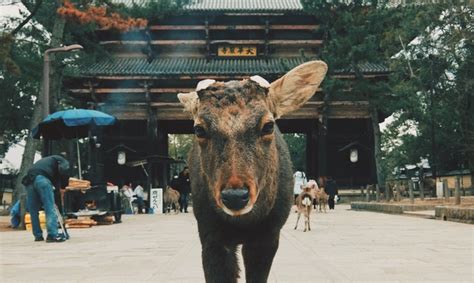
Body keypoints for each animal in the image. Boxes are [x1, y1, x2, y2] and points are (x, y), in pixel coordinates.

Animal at [176, 61, 328, 282]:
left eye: (268, 125)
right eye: (199, 129)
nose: (235, 196)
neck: (244, 222)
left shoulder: (269, 235)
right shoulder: (209, 232)